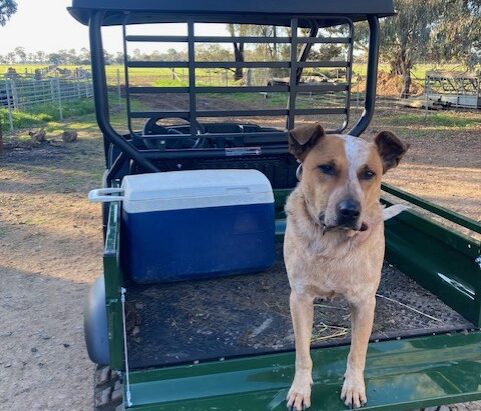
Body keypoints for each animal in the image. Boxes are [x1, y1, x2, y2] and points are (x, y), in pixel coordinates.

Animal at [284, 124, 408, 410]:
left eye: (369, 173)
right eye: (326, 168)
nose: (350, 211)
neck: (332, 242)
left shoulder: (364, 303)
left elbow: (357, 353)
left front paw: (353, 386)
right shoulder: (300, 300)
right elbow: (303, 354)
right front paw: (300, 389)